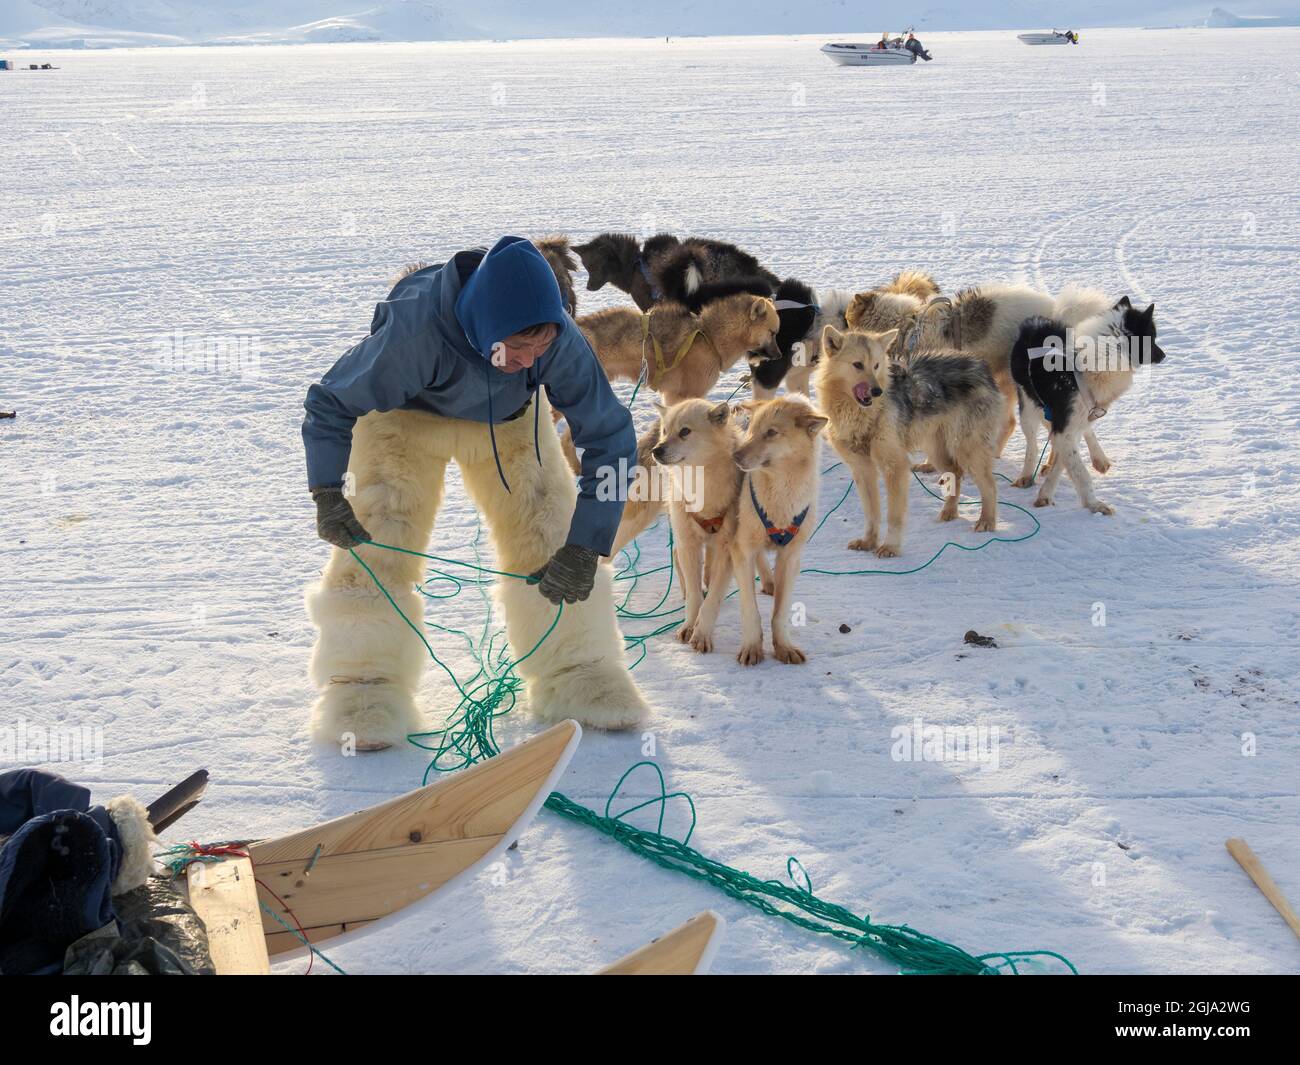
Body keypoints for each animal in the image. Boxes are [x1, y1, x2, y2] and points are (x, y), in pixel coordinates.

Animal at [816, 326, 998, 559]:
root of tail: (979, 364)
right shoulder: (863, 470)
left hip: (966, 450)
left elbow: (893, 516)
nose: (877, 392)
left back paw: (987, 522)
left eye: (876, 365)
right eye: (858, 364)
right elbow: (872, 513)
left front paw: (890, 547)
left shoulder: (896, 467)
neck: (861, 415)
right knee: (956, 473)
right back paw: (949, 512)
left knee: (990, 485)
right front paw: (868, 542)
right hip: (937, 452)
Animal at [1008, 295, 1175, 517]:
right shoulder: (1065, 425)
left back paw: (1098, 459)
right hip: (1029, 408)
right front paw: (1095, 505)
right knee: (1033, 443)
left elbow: (1066, 463)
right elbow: (1080, 471)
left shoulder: (1070, 426)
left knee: (1082, 433)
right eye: (1153, 337)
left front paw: (1046, 493)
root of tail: (1038, 321)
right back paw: (1027, 474)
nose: (1163, 355)